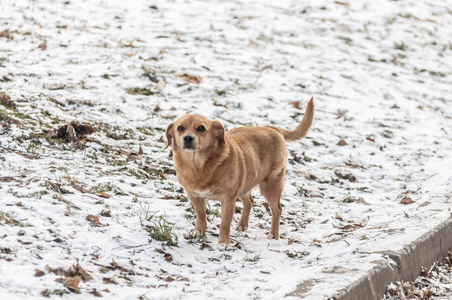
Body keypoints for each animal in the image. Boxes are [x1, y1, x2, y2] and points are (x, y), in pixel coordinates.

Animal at [164, 97, 316, 245]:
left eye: (201, 128)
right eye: (180, 128)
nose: (188, 138)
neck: (199, 165)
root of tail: (273, 128)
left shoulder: (228, 199)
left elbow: (225, 223)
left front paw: (223, 243)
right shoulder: (194, 195)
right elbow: (201, 215)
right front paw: (198, 232)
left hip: (271, 186)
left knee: (277, 210)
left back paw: (273, 234)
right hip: (246, 182)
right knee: (249, 202)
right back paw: (243, 225)